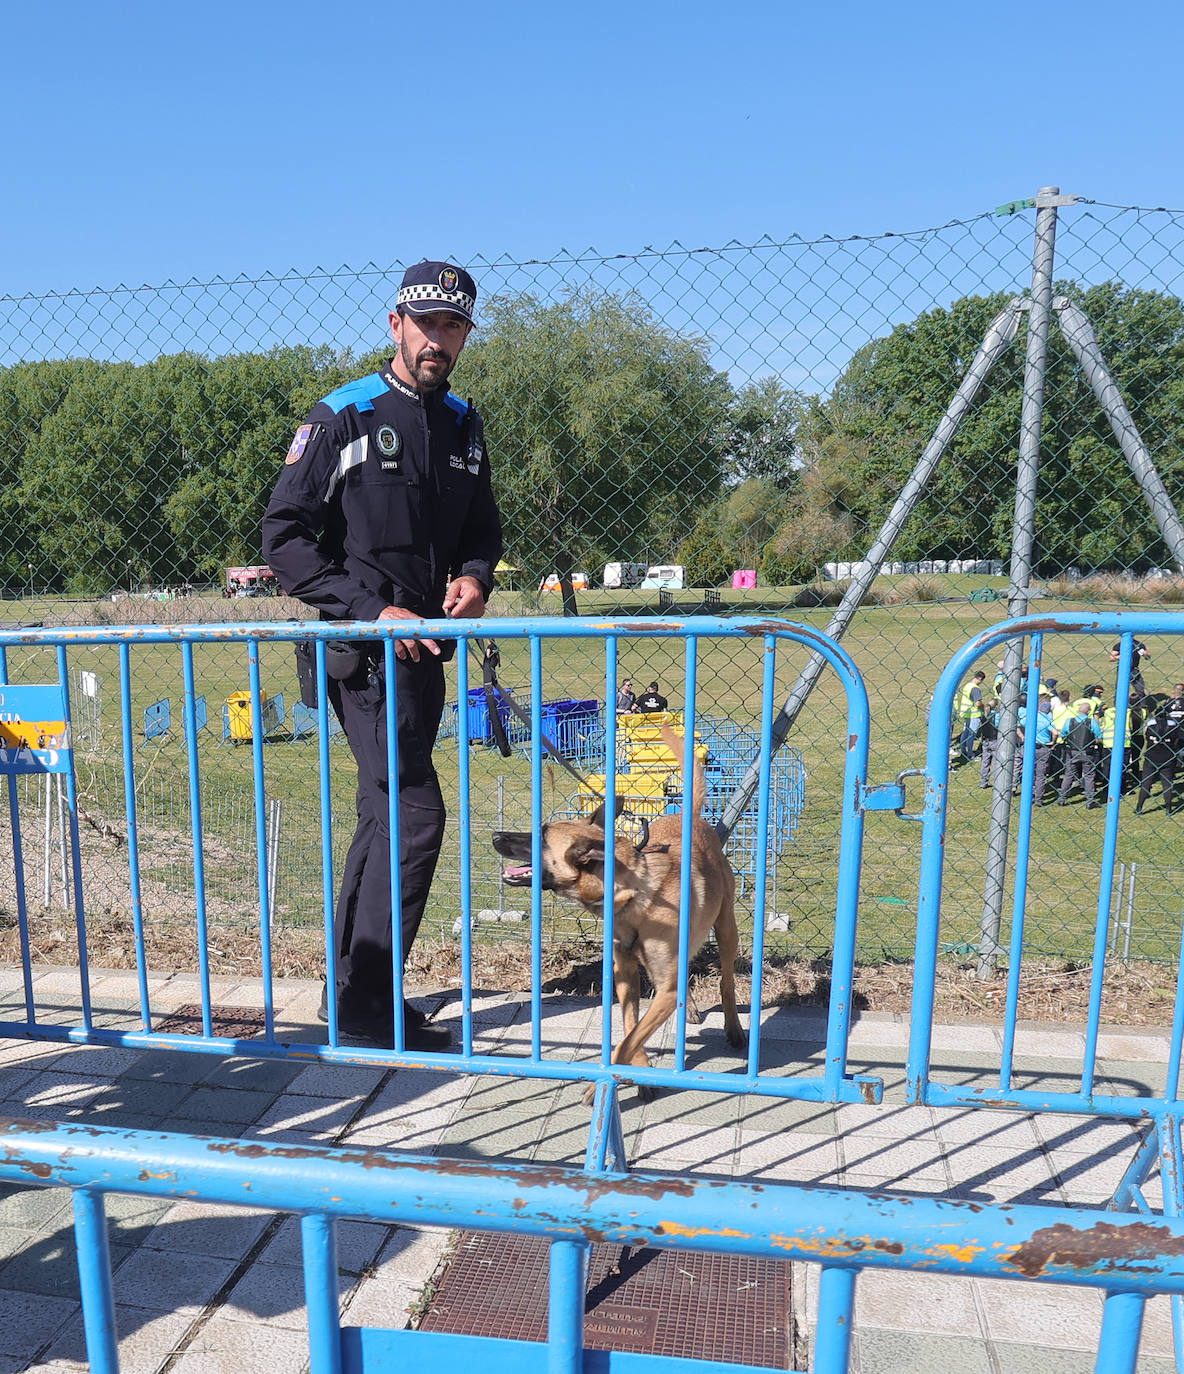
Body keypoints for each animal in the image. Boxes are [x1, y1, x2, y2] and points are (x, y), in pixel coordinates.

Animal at [497, 725, 747, 1099]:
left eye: (541, 837)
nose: (495, 836)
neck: (635, 897)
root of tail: (688, 816)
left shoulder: (662, 986)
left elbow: (628, 1040)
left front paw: (600, 1086)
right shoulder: (625, 974)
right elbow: (631, 1028)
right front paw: (639, 1074)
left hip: (727, 930)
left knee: (727, 982)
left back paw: (733, 1028)